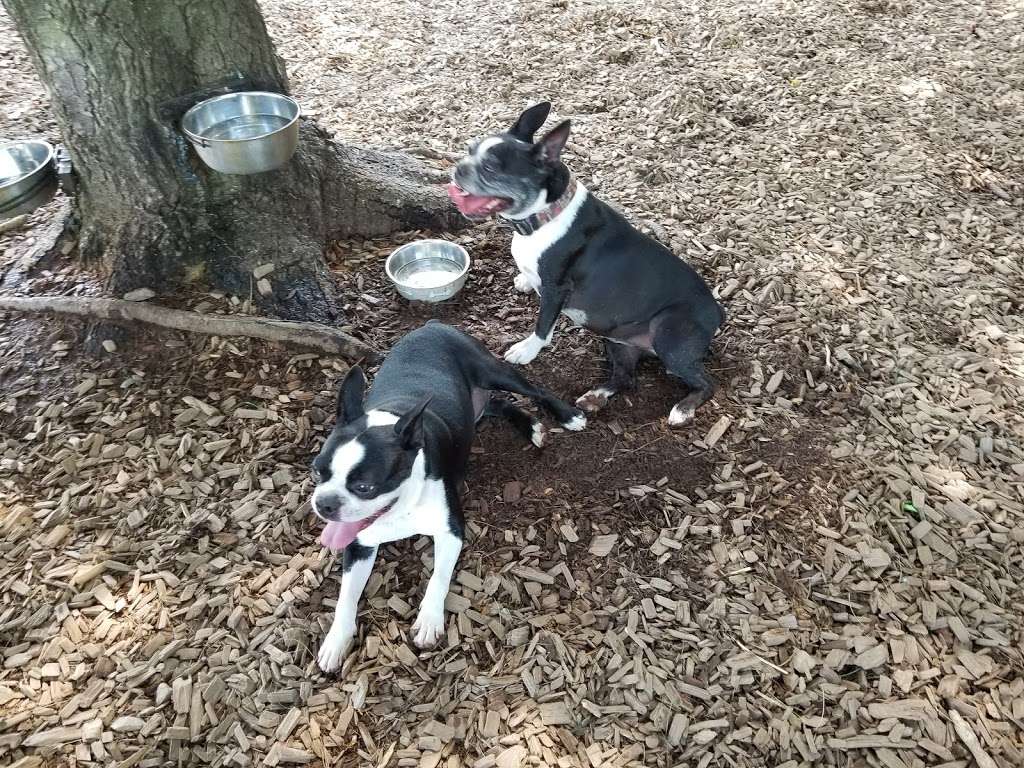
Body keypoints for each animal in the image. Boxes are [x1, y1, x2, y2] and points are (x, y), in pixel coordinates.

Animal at [307, 319, 585, 671]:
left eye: (364, 487)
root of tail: (432, 324)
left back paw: (565, 416)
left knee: (533, 390)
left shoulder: (450, 531)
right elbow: (346, 597)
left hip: (493, 371)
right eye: (316, 472)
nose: (324, 503)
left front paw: (429, 620)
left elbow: (439, 576)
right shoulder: (359, 544)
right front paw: (335, 640)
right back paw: (531, 426)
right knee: (497, 404)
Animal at [450, 102, 729, 428]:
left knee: (707, 384)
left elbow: (543, 325)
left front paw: (527, 349)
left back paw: (683, 409)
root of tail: (716, 310)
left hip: (669, 335)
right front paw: (524, 280)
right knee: (626, 378)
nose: (459, 167)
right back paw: (595, 396)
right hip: (618, 343)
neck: (546, 214)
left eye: (491, 168)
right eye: (469, 149)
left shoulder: (556, 289)